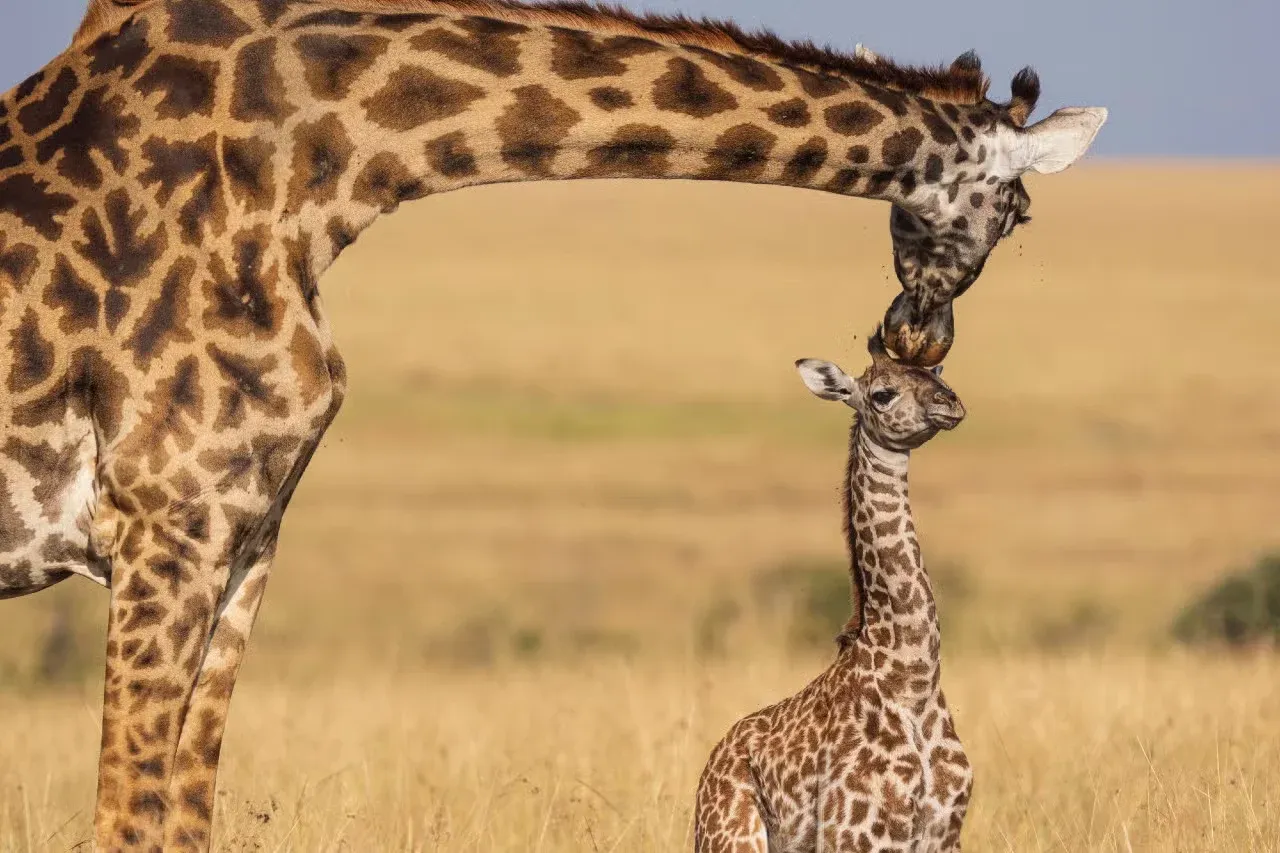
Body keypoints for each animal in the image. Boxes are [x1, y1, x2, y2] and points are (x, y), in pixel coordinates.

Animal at [693, 329, 971, 852]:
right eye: (882, 394)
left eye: (936, 374)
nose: (951, 404)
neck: (915, 678)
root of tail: (710, 766)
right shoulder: (856, 833)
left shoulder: (944, 832)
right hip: (733, 837)